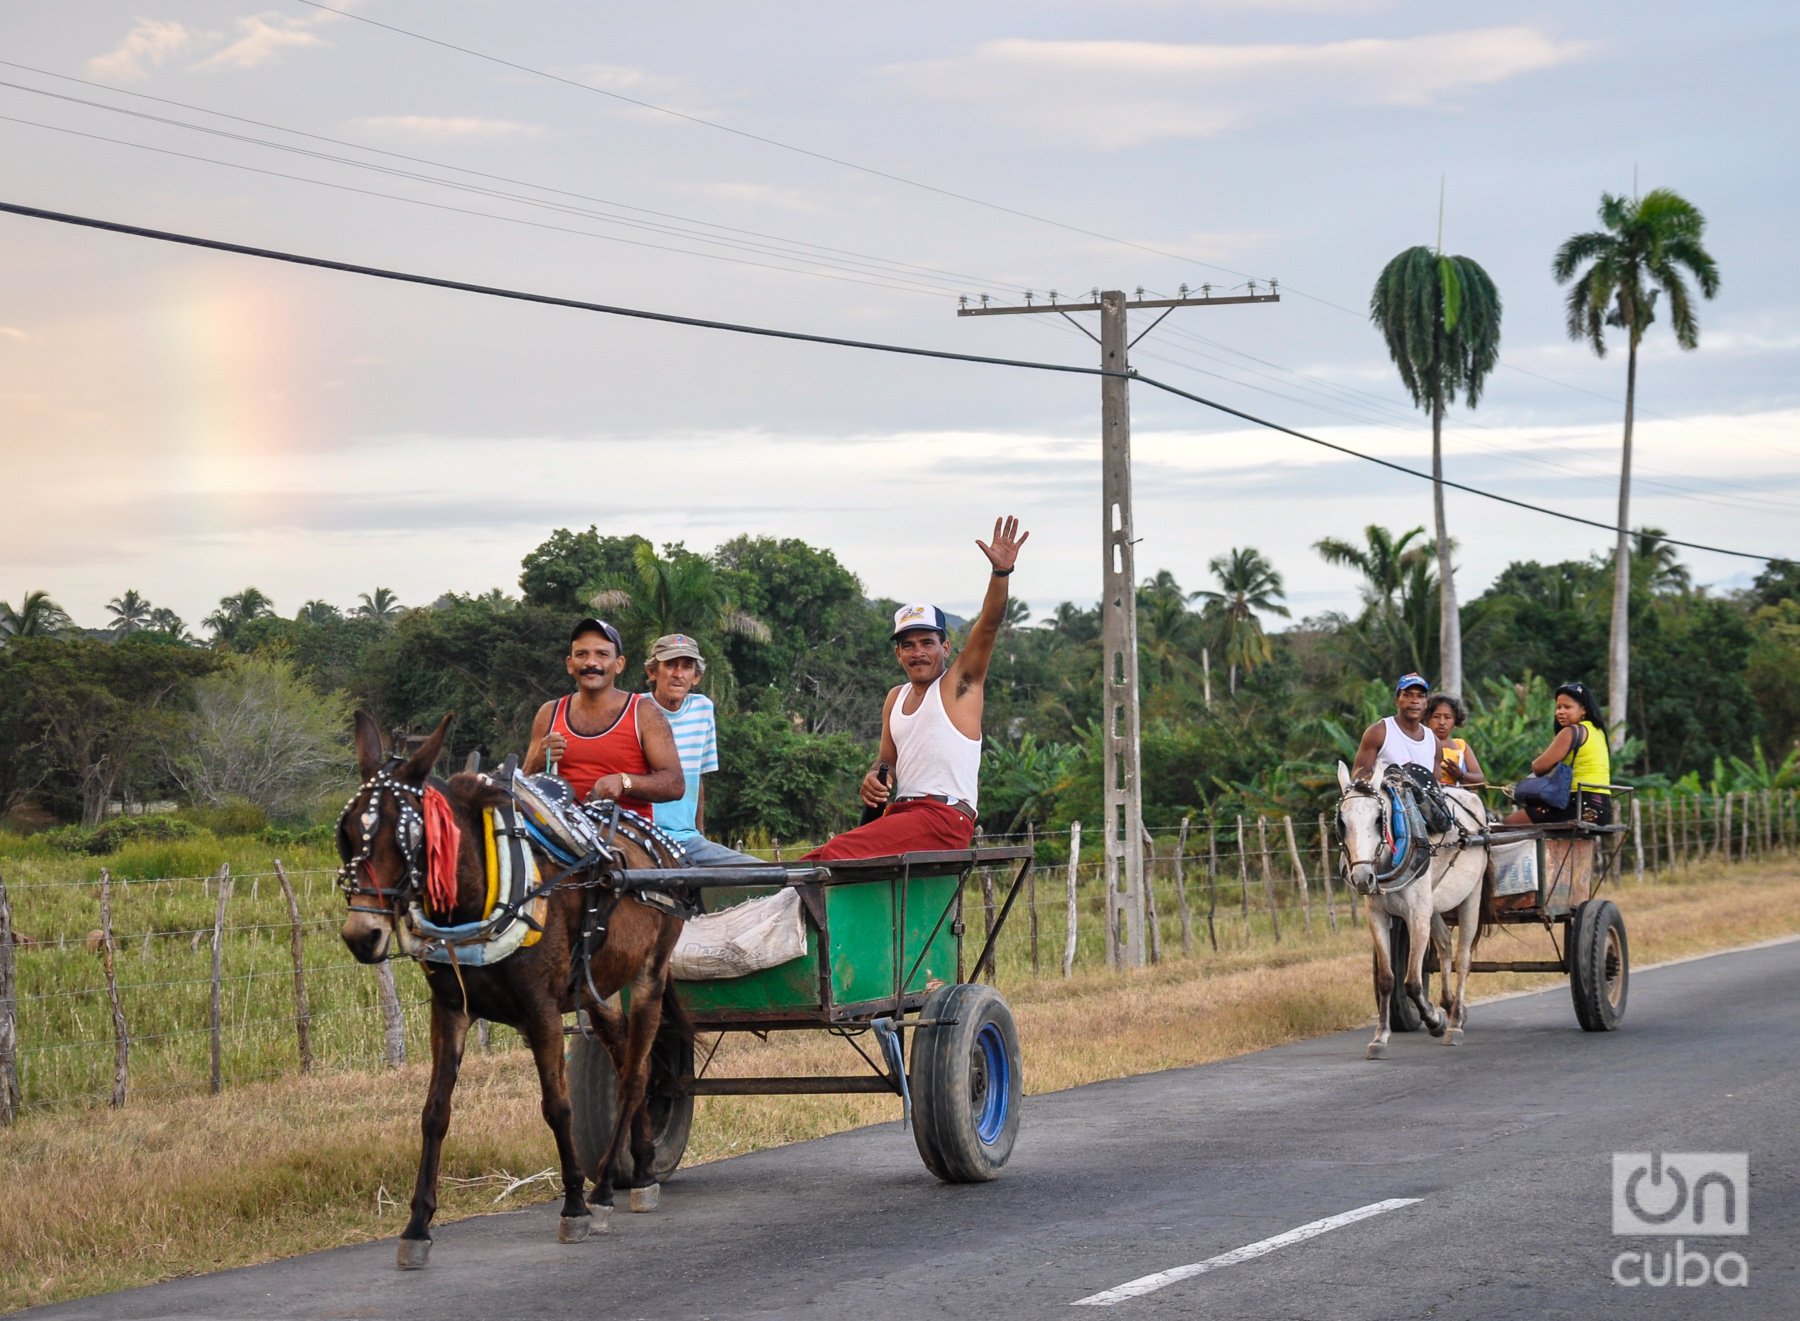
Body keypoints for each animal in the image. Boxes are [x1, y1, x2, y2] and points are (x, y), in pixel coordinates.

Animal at [1332, 759, 1497, 1058]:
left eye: (1379, 818)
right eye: (1341, 822)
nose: (1362, 878)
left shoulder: (1417, 914)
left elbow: (1412, 981)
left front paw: (1434, 1021)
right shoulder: (1377, 915)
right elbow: (1387, 979)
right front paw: (1379, 1038)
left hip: (1471, 895)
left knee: (1463, 958)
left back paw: (1455, 1023)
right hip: (1434, 906)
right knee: (1444, 945)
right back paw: (1450, 1004)